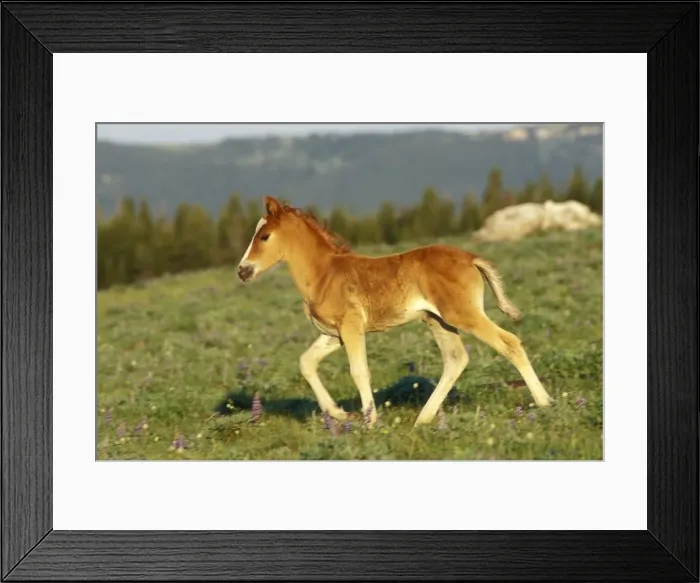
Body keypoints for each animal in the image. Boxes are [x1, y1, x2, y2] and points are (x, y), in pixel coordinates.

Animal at [237, 196, 553, 427]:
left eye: (264, 236)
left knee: (509, 342)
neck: (324, 273)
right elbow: (306, 362)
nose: (242, 271)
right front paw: (341, 414)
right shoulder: (334, 334)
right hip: (437, 320)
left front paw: (369, 421)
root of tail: (471, 258)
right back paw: (422, 419)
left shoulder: (351, 327)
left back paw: (544, 402)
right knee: (455, 359)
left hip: (462, 314)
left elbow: (359, 371)